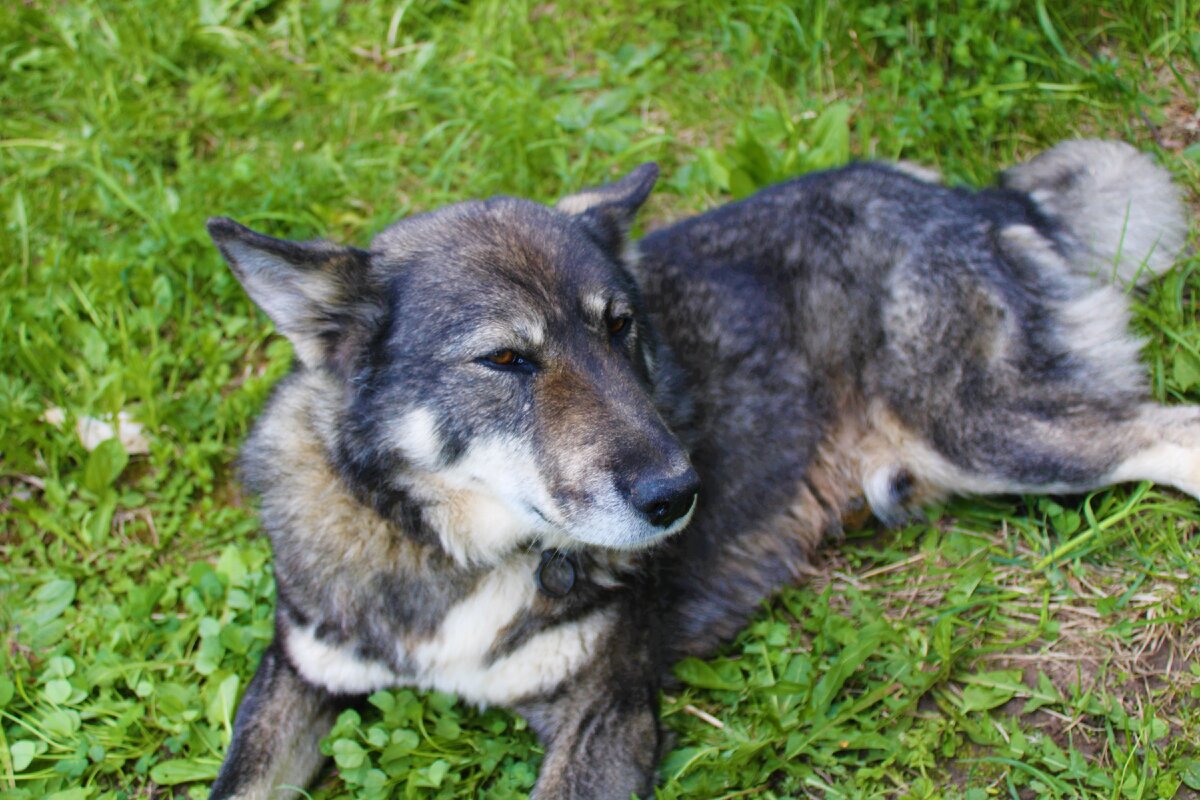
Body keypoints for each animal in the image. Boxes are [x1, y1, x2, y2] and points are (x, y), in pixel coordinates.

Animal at [204, 143, 1190, 800]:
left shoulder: (605, 719)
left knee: (1173, 428)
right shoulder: (296, 673)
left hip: (984, 429)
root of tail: (978, 197)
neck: (444, 550)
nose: (680, 496)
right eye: (506, 360)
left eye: (621, 327)